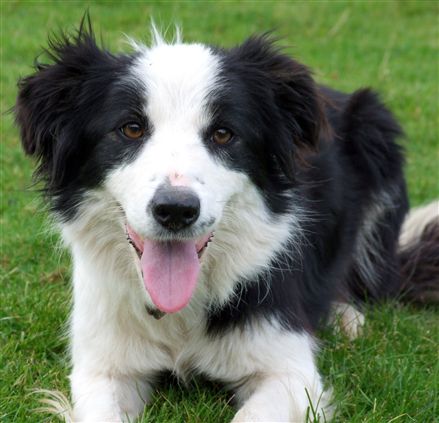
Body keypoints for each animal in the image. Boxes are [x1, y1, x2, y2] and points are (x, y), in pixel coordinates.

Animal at [15, 18, 439, 422]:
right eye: (130, 128)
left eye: (223, 134)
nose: (176, 210)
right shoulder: (102, 363)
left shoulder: (289, 368)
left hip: (376, 130)